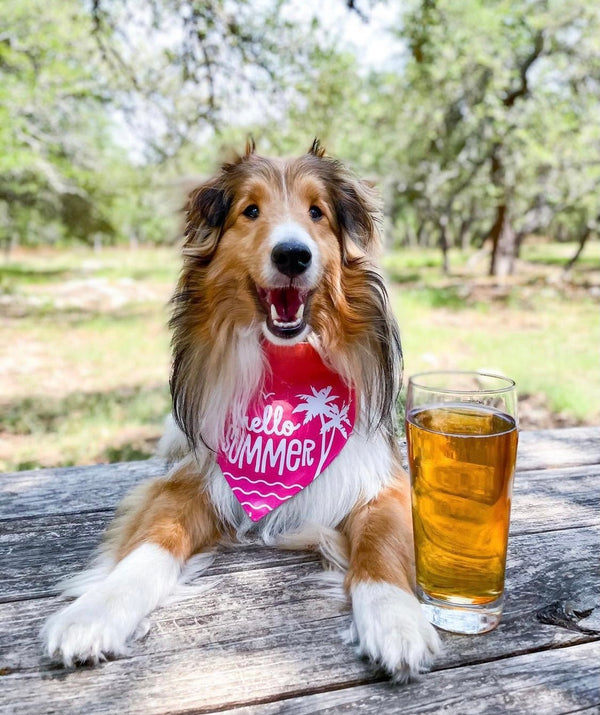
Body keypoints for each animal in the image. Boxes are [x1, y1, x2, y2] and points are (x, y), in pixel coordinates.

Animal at [39, 140, 438, 684]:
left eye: (316, 212)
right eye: (251, 211)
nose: (292, 254)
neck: (285, 371)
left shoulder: (380, 477)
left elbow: (381, 545)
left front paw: (396, 619)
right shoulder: (189, 480)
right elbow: (150, 544)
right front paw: (95, 611)